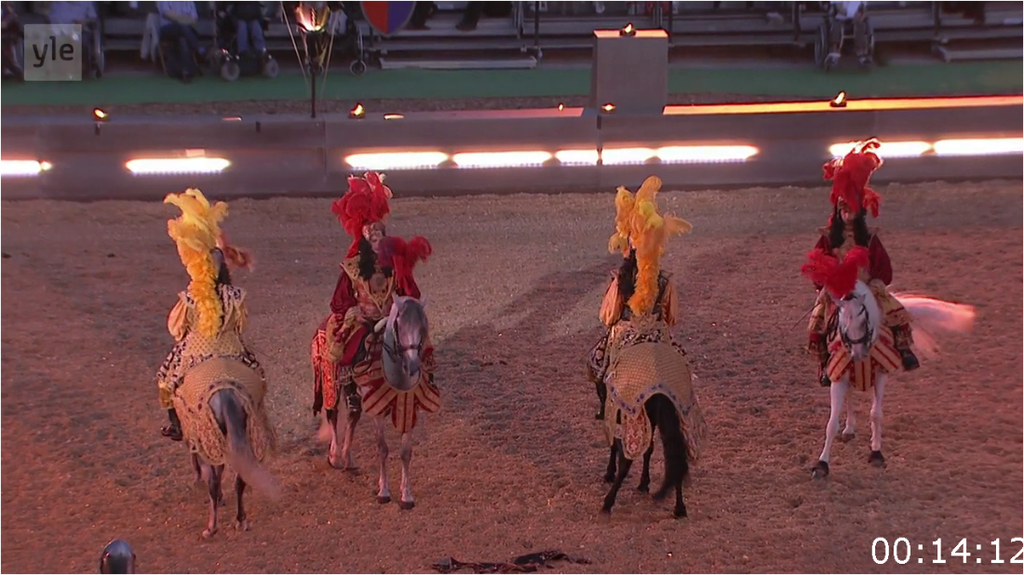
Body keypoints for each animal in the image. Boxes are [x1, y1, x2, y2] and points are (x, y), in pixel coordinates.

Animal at [806, 280, 974, 476]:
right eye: (843, 325)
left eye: (864, 322)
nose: (858, 355)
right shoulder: (838, 376)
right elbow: (832, 424)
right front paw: (822, 464)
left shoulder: (880, 375)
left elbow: (876, 414)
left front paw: (876, 453)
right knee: (849, 395)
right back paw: (849, 428)